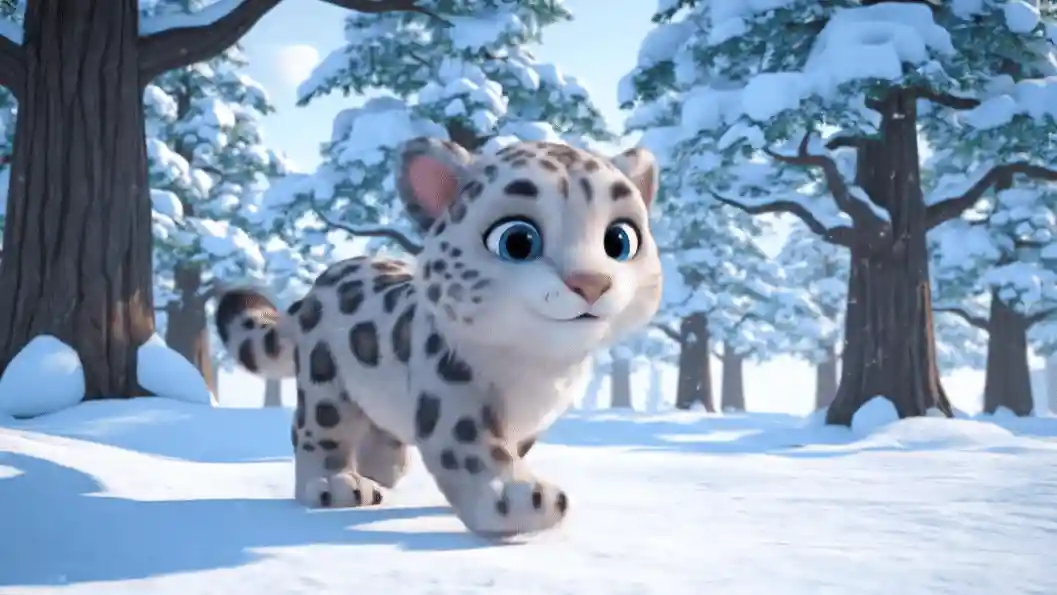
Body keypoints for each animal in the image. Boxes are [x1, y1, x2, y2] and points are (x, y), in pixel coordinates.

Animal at [214, 136, 663, 538]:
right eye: (517, 240)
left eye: (619, 239)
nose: (591, 283)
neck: (539, 370)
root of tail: (317, 286)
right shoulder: (452, 396)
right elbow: (475, 451)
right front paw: (520, 501)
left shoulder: (528, 427)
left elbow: (509, 449)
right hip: (324, 386)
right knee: (318, 431)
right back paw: (336, 485)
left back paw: (383, 472)